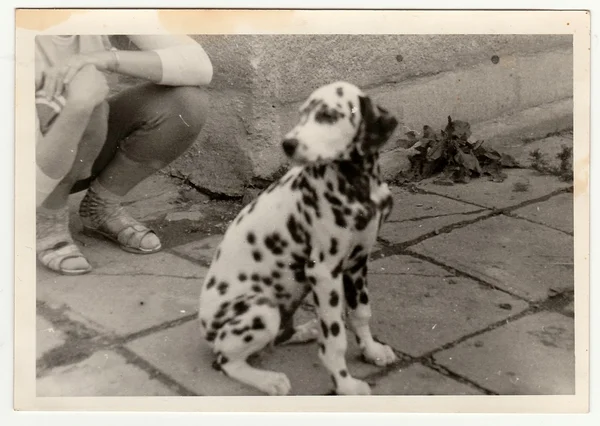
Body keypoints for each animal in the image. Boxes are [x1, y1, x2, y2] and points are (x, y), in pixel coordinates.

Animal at [199, 80, 400, 396]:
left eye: (328, 115)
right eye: (302, 115)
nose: (287, 144)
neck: (357, 183)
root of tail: (205, 328)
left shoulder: (357, 262)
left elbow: (361, 313)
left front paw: (372, 351)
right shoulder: (324, 272)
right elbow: (335, 340)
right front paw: (345, 385)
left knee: (281, 334)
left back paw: (306, 330)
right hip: (262, 310)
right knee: (226, 360)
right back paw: (269, 380)